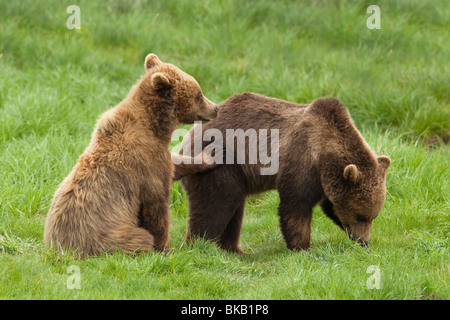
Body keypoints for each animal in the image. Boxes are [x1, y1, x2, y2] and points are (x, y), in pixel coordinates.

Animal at [45, 53, 220, 258]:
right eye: (198, 94)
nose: (216, 108)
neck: (154, 127)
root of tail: (59, 250)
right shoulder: (145, 165)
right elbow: (157, 207)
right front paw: (165, 250)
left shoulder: (157, 154)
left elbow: (174, 166)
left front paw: (209, 155)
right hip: (108, 236)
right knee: (140, 238)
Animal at [179, 92, 390, 252]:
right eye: (361, 215)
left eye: (373, 216)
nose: (364, 242)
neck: (323, 156)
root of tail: (186, 139)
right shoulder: (301, 161)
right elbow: (296, 205)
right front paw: (301, 247)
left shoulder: (326, 182)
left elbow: (330, 206)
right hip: (221, 161)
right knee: (216, 203)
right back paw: (198, 245)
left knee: (234, 209)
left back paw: (233, 249)